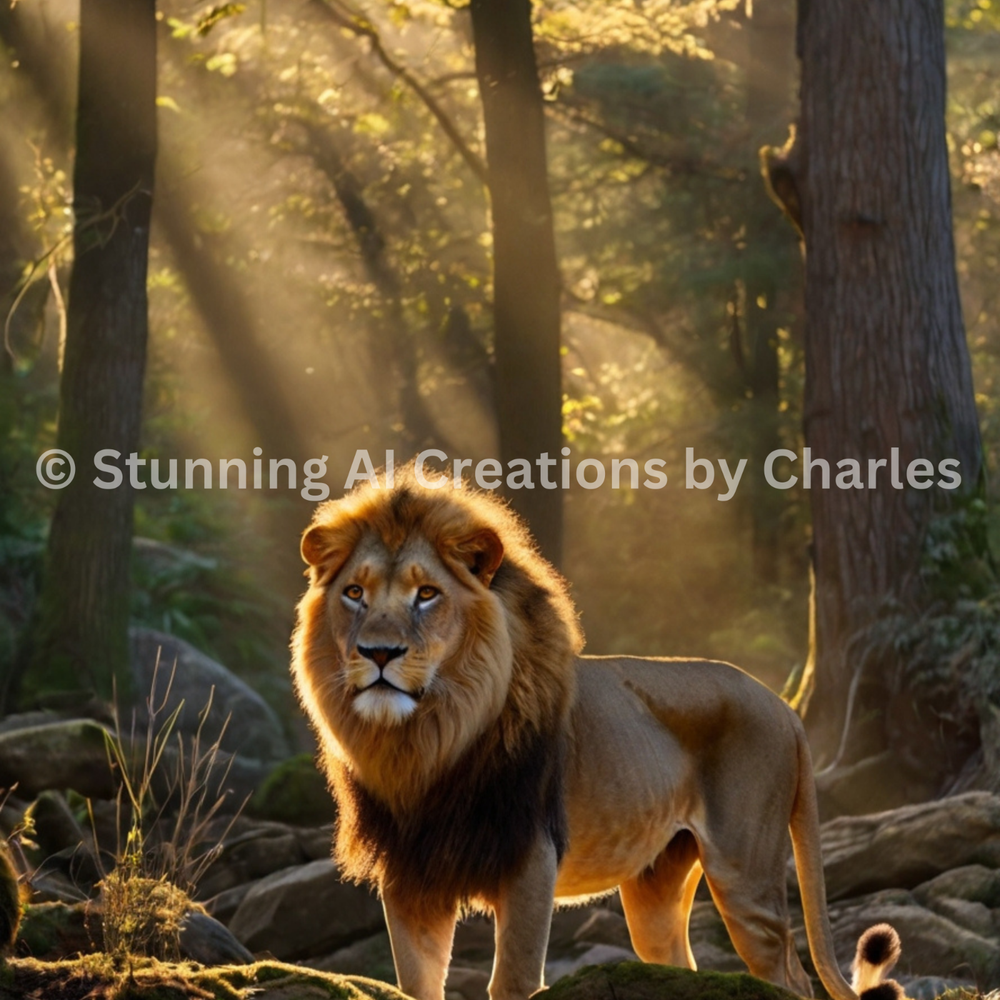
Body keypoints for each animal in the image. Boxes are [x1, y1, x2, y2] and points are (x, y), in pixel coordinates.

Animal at [291, 472, 902, 1000]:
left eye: (426, 594)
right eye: (354, 592)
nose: (379, 653)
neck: (427, 742)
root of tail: (782, 704)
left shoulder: (530, 857)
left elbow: (512, 981)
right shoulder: (411, 876)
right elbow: (416, 985)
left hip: (744, 871)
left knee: (789, 976)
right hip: (657, 888)